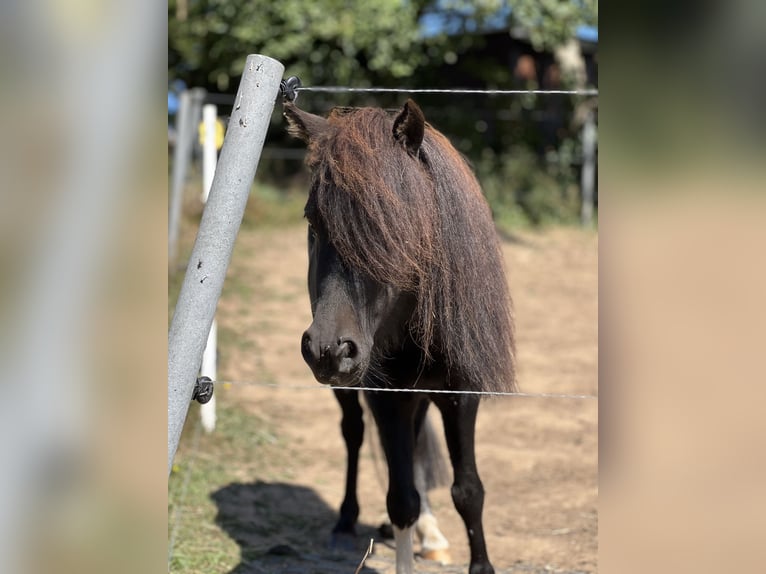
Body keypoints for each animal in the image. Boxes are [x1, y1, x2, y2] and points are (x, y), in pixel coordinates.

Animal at [286, 99, 516, 574]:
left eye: (391, 225)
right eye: (313, 224)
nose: (328, 350)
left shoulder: (460, 393)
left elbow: (468, 491)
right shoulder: (386, 395)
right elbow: (400, 499)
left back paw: (430, 533)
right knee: (354, 433)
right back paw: (345, 522)